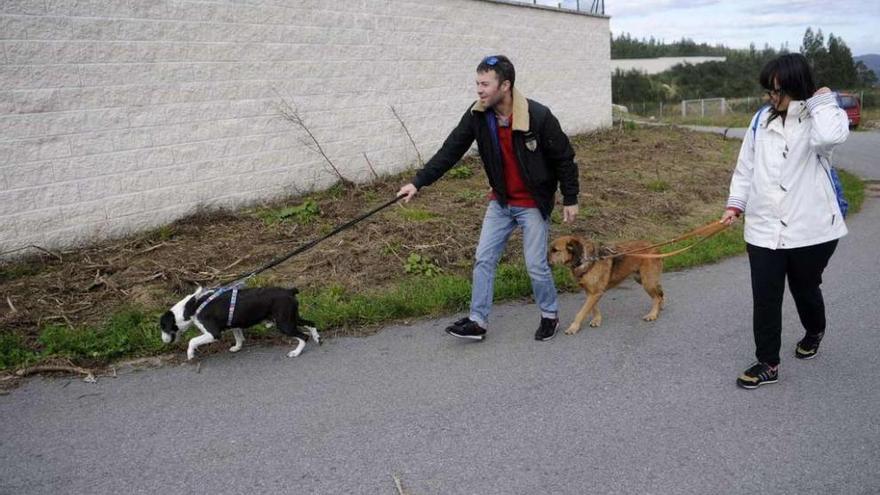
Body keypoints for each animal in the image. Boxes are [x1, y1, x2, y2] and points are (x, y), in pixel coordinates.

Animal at [160, 286, 322, 360]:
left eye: (163, 327)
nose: (163, 341)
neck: (191, 308)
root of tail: (289, 291)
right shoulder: (235, 324)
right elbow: (238, 336)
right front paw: (237, 348)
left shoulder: (213, 334)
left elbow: (192, 341)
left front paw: (190, 354)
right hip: (291, 318)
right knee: (311, 323)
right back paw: (317, 338)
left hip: (284, 324)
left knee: (303, 336)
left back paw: (296, 352)